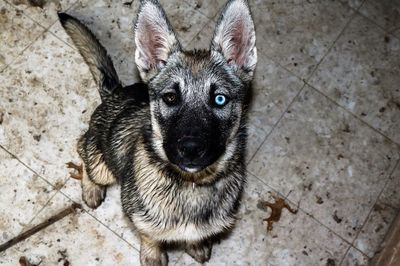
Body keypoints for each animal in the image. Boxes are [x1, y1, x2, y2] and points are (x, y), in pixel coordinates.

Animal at [59, 0, 256, 264]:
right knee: (83, 150)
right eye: (170, 97)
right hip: (102, 165)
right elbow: (150, 236)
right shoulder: (138, 216)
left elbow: (196, 236)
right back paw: (91, 188)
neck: (190, 185)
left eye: (220, 99)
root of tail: (115, 93)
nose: (190, 150)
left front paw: (196, 245)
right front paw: (153, 255)